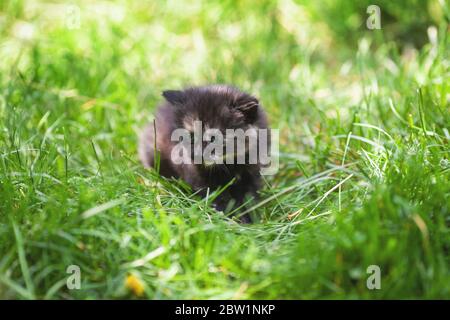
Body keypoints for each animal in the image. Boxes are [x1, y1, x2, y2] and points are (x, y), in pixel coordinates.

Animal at [139, 84, 268, 221]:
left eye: (214, 138)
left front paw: (251, 219)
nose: (197, 154)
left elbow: (249, 199)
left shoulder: (252, 173)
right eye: (191, 137)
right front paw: (229, 218)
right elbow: (218, 198)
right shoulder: (196, 174)